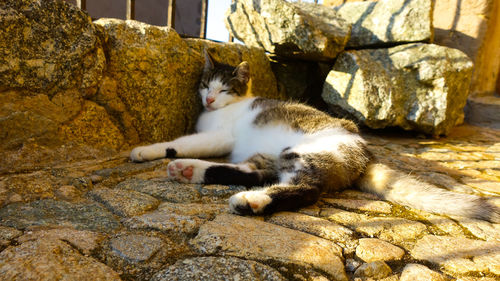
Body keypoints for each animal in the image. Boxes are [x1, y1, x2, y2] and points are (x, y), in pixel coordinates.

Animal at [130, 51, 500, 222]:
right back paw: (191, 171)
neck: (219, 111)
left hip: (306, 152)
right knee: (256, 172)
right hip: (272, 155)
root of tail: (366, 153)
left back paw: (251, 201)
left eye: (223, 89)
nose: (208, 99)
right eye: (206, 85)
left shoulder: (219, 136)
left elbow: (180, 142)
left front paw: (145, 150)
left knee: (305, 189)